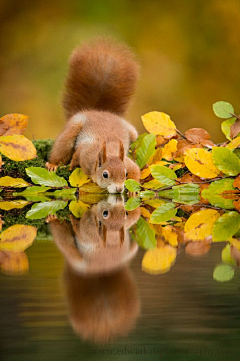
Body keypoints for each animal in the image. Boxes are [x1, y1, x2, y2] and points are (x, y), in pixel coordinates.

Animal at [47, 38, 141, 193]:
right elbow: (76, 156)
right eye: (105, 175)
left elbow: (137, 170)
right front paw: (71, 166)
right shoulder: (85, 153)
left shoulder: (127, 163)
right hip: (72, 129)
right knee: (62, 148)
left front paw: (134, 190)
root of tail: (97, 110)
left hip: (132, 133)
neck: (109, 151)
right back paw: (53, 164)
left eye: (125, 173)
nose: (119, 189)